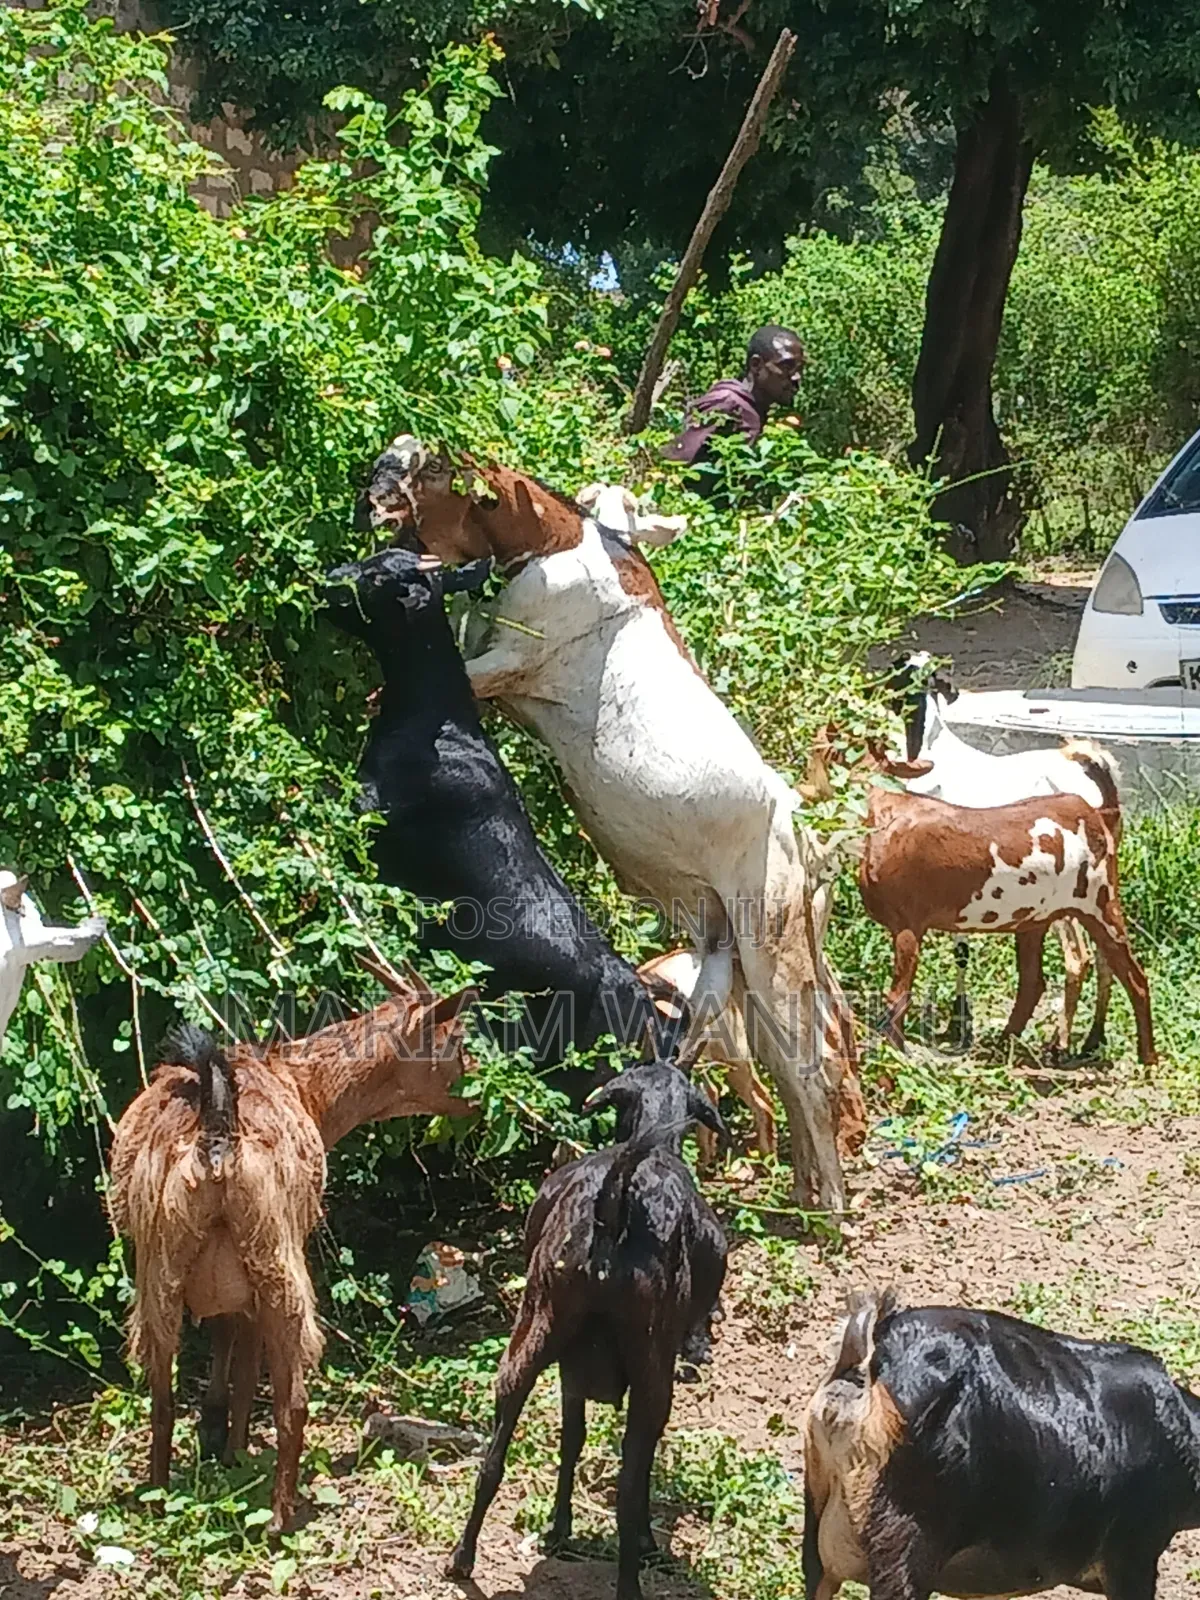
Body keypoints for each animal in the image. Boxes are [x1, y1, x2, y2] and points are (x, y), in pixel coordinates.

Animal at [108, 964, 475, 1534]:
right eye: (455, 1039)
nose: (479, 1090)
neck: (306, 1087)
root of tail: (217, 1133)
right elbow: (245, 1367)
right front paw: (231, 1447)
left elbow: (225, 1341)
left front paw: (215, 1435)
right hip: (278, 1258)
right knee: (293, 1400)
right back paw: (280, 1516)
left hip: (161, 1267)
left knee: (161, 1394)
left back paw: (158, 1490)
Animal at [447, 1061, 728, 1600]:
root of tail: (614, 1207)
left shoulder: (570, 1374)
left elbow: (570, 1439)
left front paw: (558, 1528)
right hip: (651, 1368)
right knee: (628, 1488)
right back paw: (630, 1581)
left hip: (531, 1335)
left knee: (492, 1459)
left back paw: (461, 1558)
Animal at [853, 739, 1155, 1063]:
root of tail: (1093, 813)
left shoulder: (909, 924)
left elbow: (899, 994)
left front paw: (893, 1052)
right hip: (1036, 919)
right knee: (1036, 981)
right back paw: (1010, 1044)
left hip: (1099, 904)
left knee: (1132, 977)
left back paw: (1146, 1059)